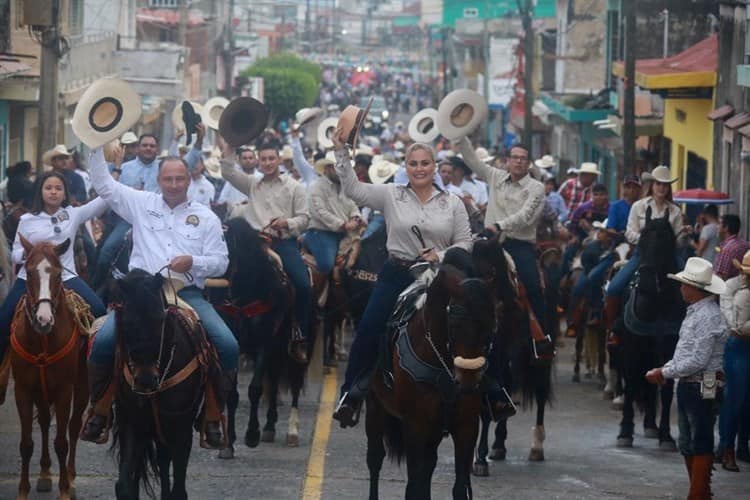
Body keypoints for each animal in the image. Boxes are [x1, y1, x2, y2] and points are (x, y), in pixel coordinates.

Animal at [9, 237, 89, 500]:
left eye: (58, 274)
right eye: (29, 272)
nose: (43, 320)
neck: (43, 340)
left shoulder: (64, 390)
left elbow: (61, 442)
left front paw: (64, 489)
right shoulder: (23, 390)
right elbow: (25, 444)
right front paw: (23, 491)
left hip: (81, 386)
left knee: (73, 427)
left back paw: (71, 478)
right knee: (44, 422)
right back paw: (44, 473)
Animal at [366, 247, 496, 500]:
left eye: (490, 325)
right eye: (455, 320)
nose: (467, 381)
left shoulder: (466, 426)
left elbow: (458, 487)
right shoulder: (415, 426)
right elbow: (414, 486)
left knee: (429, 465)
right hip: (375, 408)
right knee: (375, 460)